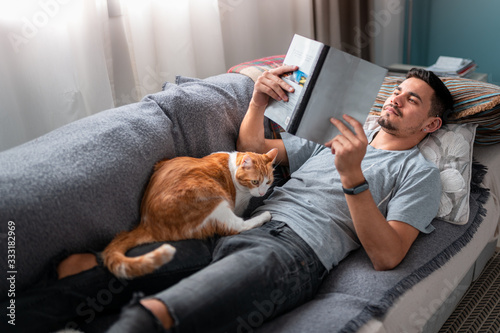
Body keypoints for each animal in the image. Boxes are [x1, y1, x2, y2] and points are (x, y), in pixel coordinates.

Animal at [101, 148, 278, 278]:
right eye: (255, 182)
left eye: (268, 182)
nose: (262, 193)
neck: (232, 169)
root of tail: (146, 223)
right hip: (213, 197)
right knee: (235, 226)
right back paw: (264, 216)